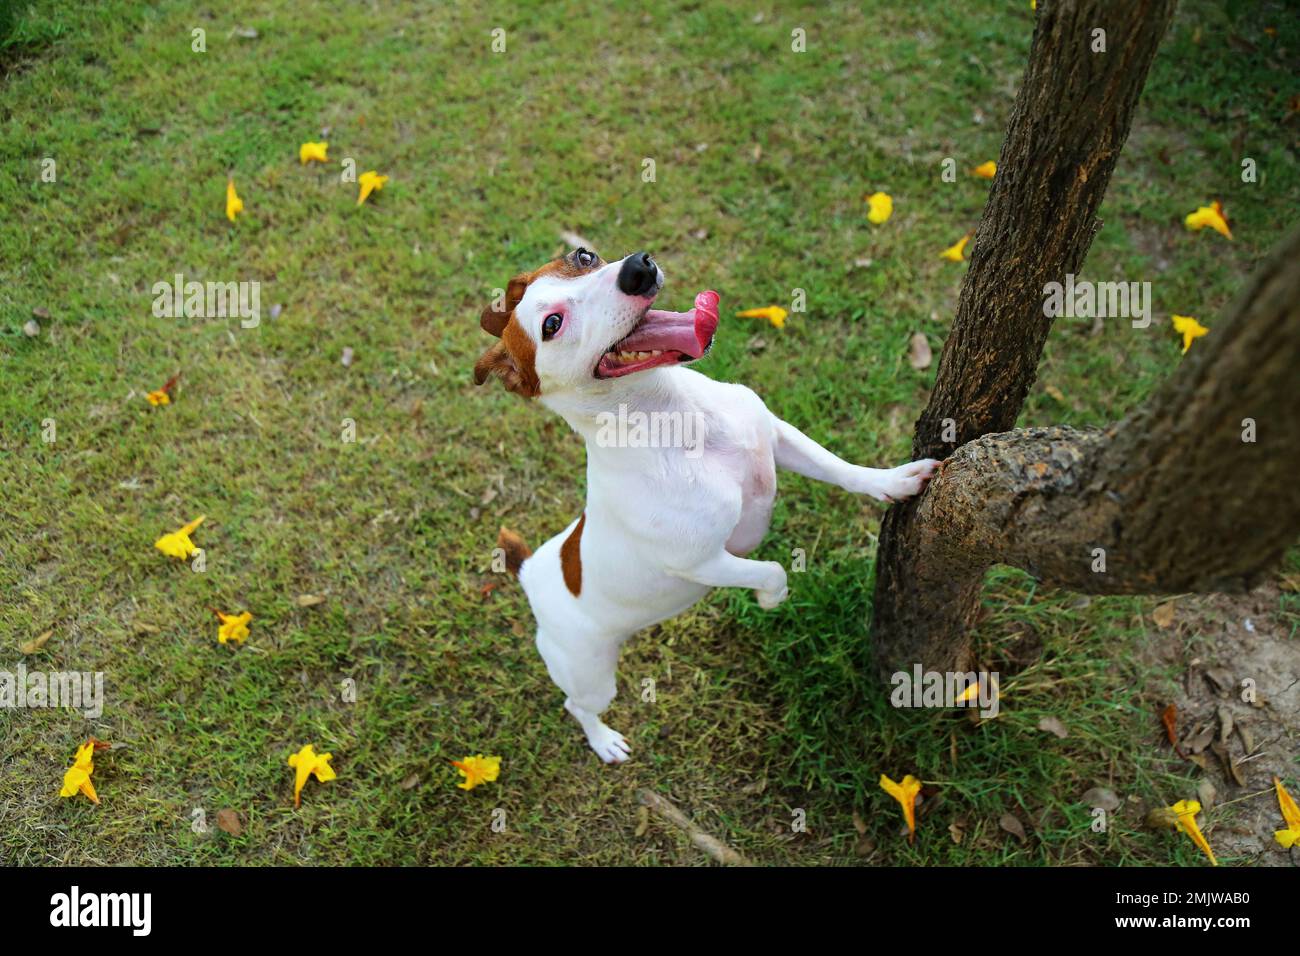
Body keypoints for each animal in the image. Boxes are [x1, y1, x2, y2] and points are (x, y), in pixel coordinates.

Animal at [473, 251, 941, 764]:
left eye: (583, 257)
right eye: (552, 325)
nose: (637, 267)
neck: (678, 417)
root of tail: (530, 573)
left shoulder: (778, 437)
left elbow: (840, 469)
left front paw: (891, 480)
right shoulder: (704, 562)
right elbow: (771, 569)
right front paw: (771, 599)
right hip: (589, 673)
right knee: (577, 705)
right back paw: (603, 741)